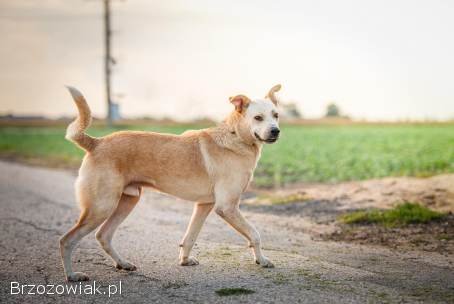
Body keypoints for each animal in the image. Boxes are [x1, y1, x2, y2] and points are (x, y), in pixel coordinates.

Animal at [59, 83, 282, 282]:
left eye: (276, 115)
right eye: (258, 117)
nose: (275, 131)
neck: (236, 137)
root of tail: (96, 143)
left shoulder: (204, 205)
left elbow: (190, 237)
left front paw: (184, 260)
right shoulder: (227, 207)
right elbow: (254, 234)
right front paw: (262, 260)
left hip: (126, 201)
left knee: (103, 235)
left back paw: (123, 264)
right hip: (101, 206)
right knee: (66, 240)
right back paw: (72, 276)